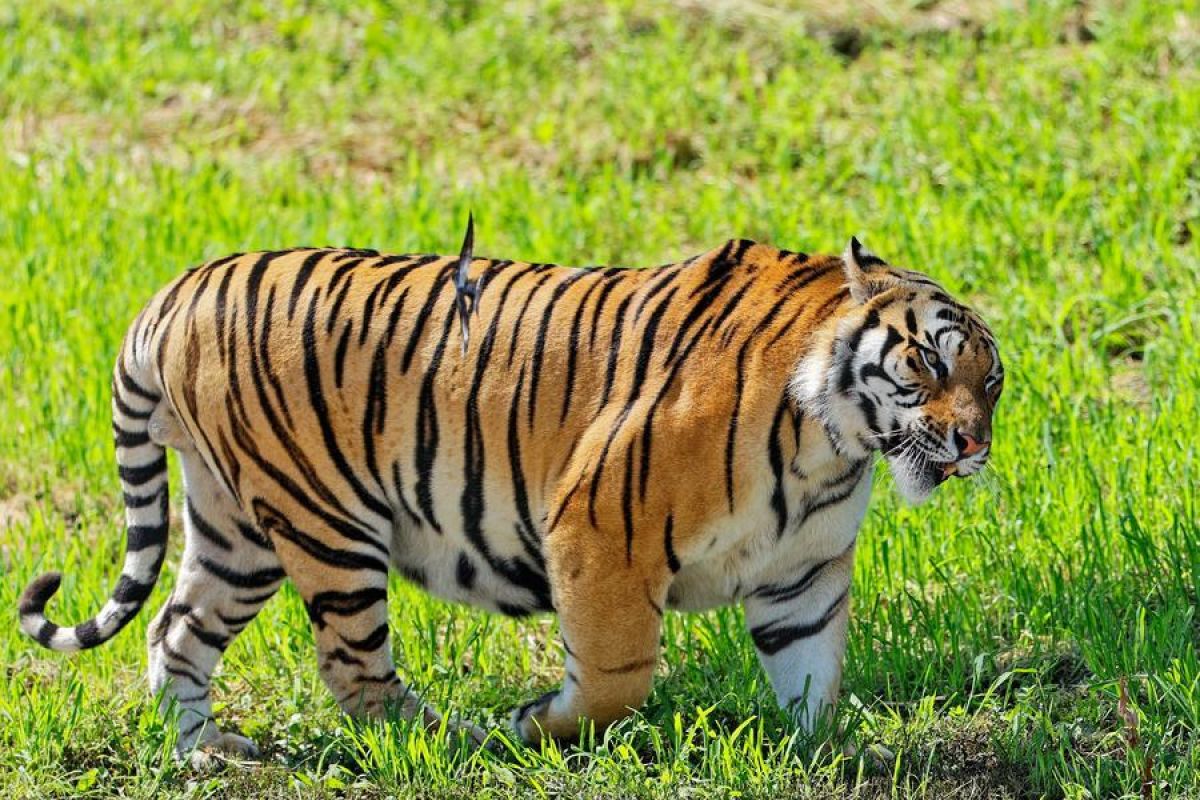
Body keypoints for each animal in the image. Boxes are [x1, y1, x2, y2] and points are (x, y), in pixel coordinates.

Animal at [18, 223, 1003, 760]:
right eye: (928, 360)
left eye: (990, 383)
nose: (972, 443)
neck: (836, 447)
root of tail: (177, 290)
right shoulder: (601, 530)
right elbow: (615, 679)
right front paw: (536, 725)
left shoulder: (801, 576)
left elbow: (813, 683)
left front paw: (832, 754)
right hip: (325, 525)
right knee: (353, 669)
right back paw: (447, 737)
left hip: (238, 533)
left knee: (174, 629)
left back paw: (207, 757)